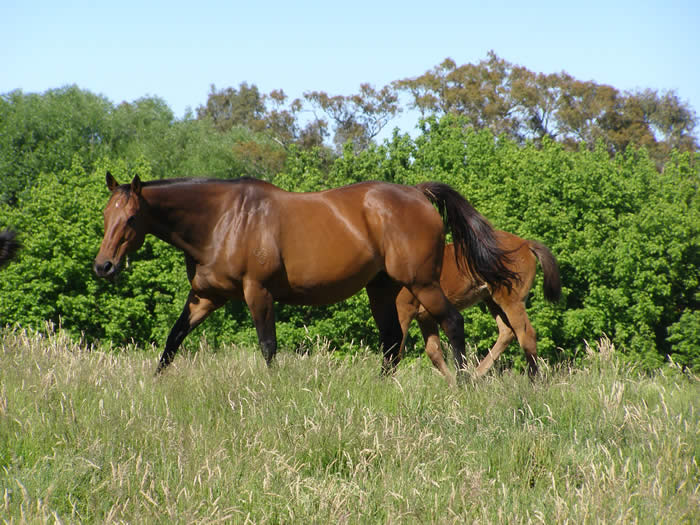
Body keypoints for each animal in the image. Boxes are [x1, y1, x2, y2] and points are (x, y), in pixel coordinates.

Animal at [94, 173, 518, 377]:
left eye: (131, 218)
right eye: (105, 214)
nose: (103, 266)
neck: (222, 220)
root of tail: (417, 193)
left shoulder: (258, 292)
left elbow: (268, 347)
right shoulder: (205, 297)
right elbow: (172, 341)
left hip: (421, 283)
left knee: (452, 322)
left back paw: (464, 382)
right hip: (380, 289)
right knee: (392, 342)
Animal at [396, 230, 561, 384]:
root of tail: (526, 244)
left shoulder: (403, 310)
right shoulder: (424, 317)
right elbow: (433, 351)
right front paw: (453, 385)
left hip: (512, 301)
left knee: (526, 335)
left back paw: (534, 381)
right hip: (491, 299)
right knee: (507, 332)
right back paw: (474, 376)